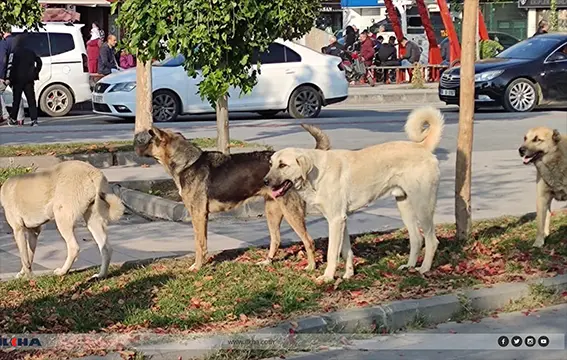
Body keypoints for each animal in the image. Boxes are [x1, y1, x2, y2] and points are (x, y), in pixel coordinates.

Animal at [135, 125, 330, 272]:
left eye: (150, 141)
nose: (135, 147)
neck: (188, 163)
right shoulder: (202, 216)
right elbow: (203, 242)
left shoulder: (198, 215)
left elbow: (199, 244)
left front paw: (197, 267)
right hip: (272, 211)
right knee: (276, 239)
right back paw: (267, 262)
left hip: (290, 212)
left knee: (308, 240)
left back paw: (311, 267)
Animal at [264, 107, 446, 284]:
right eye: (271, 164)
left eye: (283, 165)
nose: (265, 181)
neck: (315, 173)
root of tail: (422, 146)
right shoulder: (342, 220)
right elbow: (346, 251)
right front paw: (348, 274)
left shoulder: (335, 220)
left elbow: (332, 253)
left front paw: (328, 277)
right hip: (404, 206)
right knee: (417, 239)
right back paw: (409, 267)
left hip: (422, 207)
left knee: (431, 240)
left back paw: (424, 269)